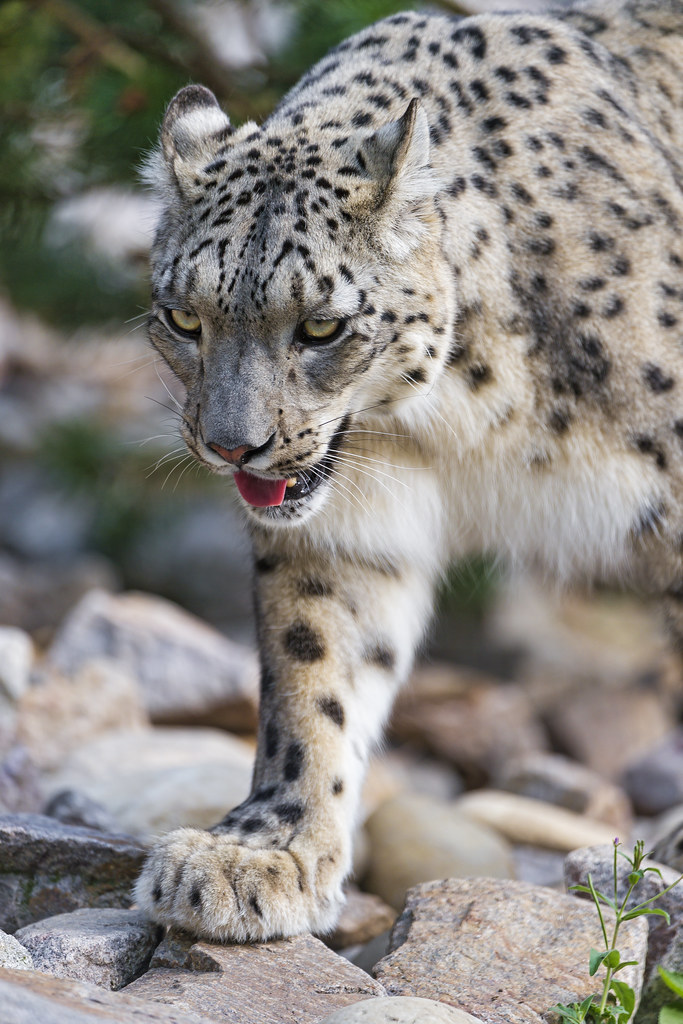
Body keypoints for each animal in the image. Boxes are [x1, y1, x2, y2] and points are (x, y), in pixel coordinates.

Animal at [134, 0, 683, 942]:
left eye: (321, 326)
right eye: (183, 317)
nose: (233, 445)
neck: (471, 419)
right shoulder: (352, 527)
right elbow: (315, 669)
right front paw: (262, 853)